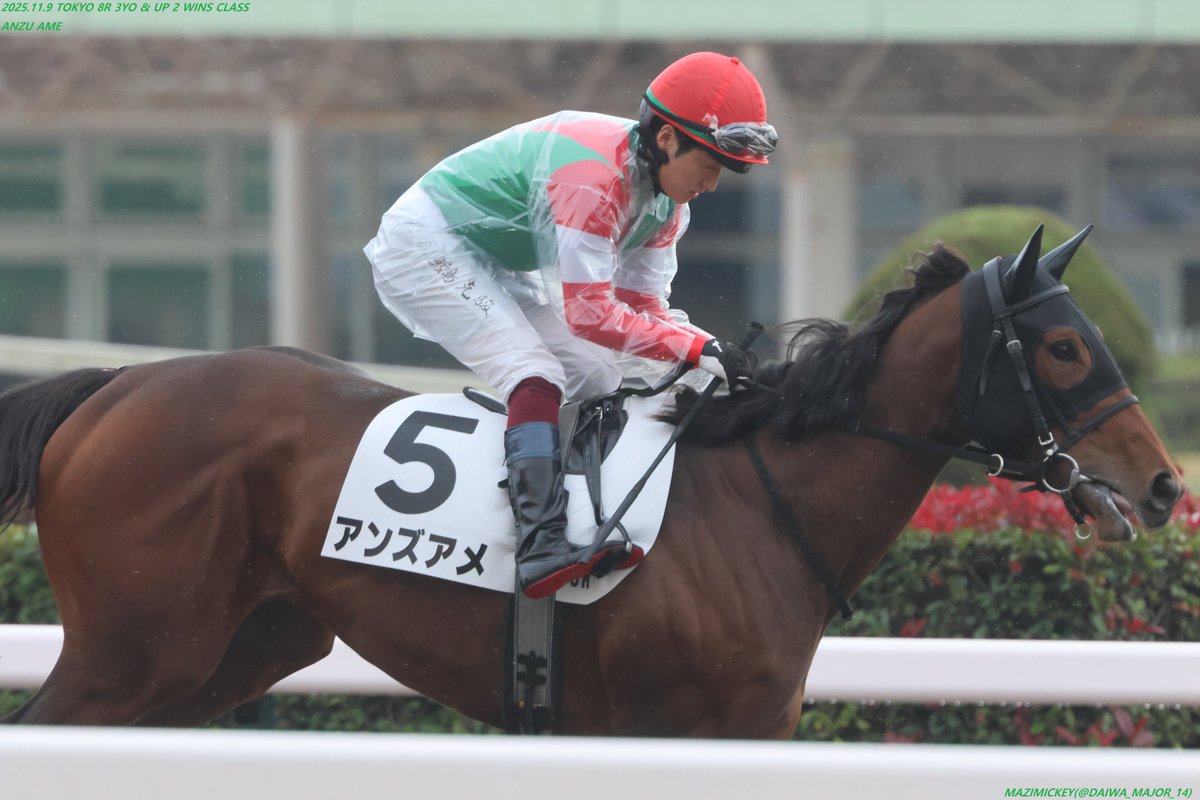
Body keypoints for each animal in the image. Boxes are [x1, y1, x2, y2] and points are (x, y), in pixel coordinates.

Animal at [0, 227, 1182, 737]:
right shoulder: (665, 729)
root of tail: (113, 386)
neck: (759, 506)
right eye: (1065, 348)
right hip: (133, 650)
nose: (1166, 484)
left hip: (233, 648)